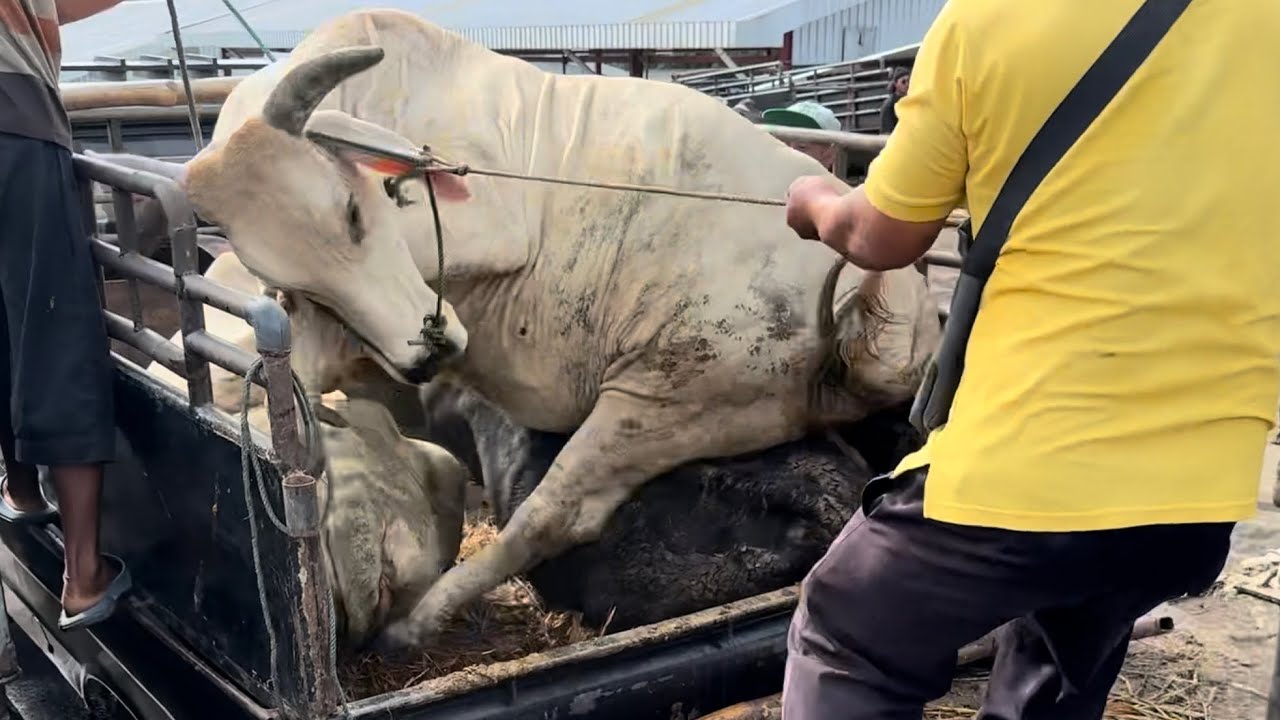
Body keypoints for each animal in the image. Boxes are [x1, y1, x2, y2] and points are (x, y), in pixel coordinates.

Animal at [100, 8, 942, 645]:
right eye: (293, 278)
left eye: (351, 212)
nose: (426, 346)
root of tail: (872, 324)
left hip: (670, 396)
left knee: (550, 516)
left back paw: (417, 623)